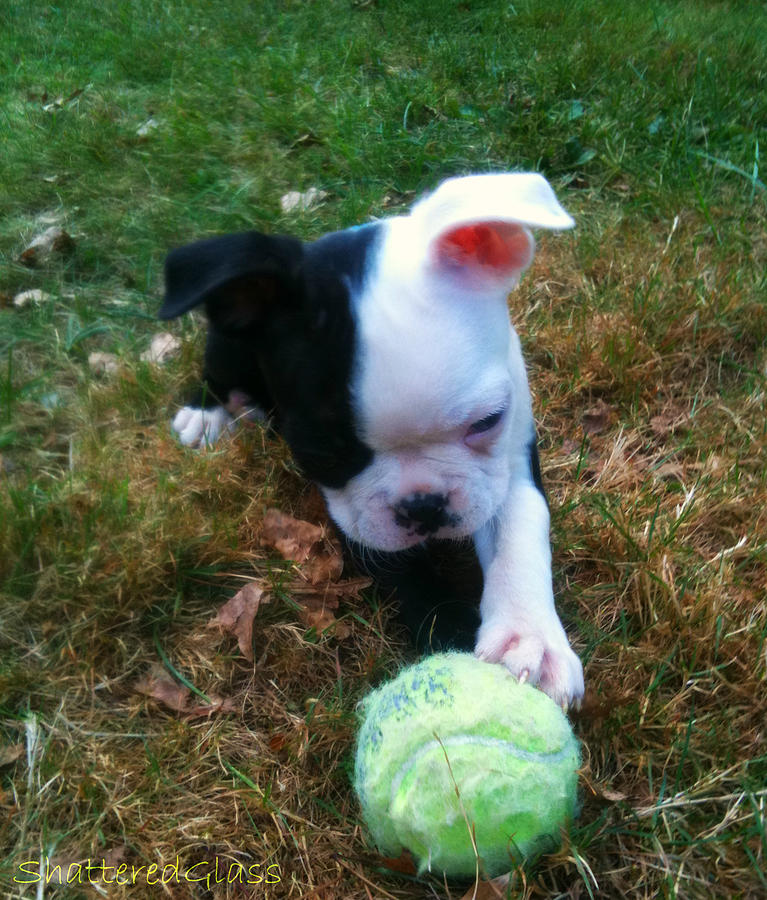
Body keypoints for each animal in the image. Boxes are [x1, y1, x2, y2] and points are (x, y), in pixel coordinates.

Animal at [159, 172, 584, 708]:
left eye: (487, 422)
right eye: (321, 452)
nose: (424, 505)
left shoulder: (511, 458)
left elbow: (520, 531)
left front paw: (529, 639)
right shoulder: (357, 514)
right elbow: (405, 571)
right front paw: (449, 631)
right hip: (229, 339)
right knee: (217, 368)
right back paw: (206, 413)